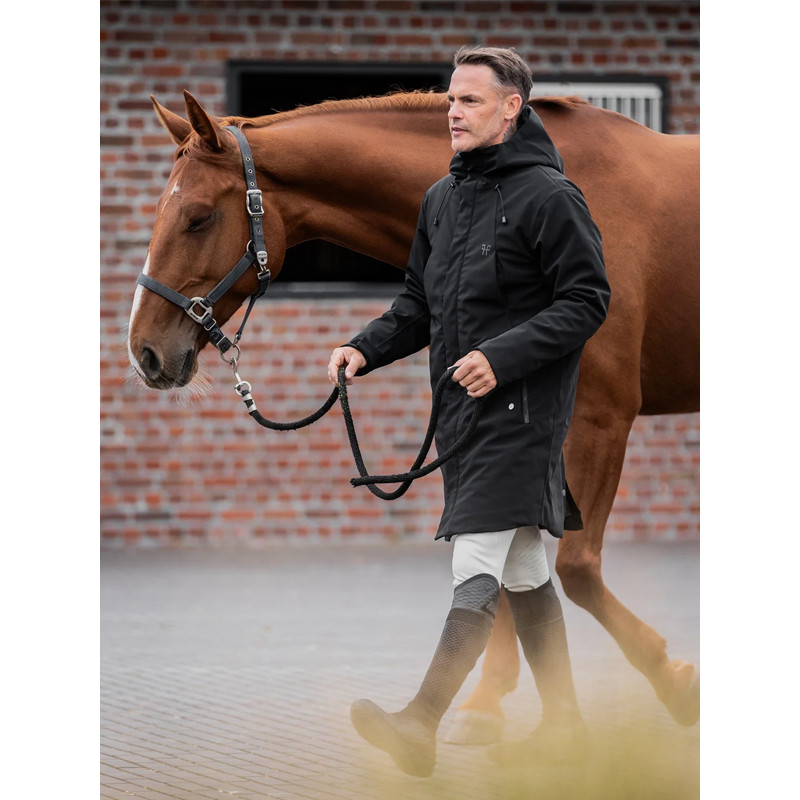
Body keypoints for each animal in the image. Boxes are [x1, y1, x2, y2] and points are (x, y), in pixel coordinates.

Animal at [126, 89, 700, 741]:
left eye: (198, 217)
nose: (144, 352)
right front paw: (484, 703)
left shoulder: (604, 418)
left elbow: (575, 568)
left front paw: (675, 679)